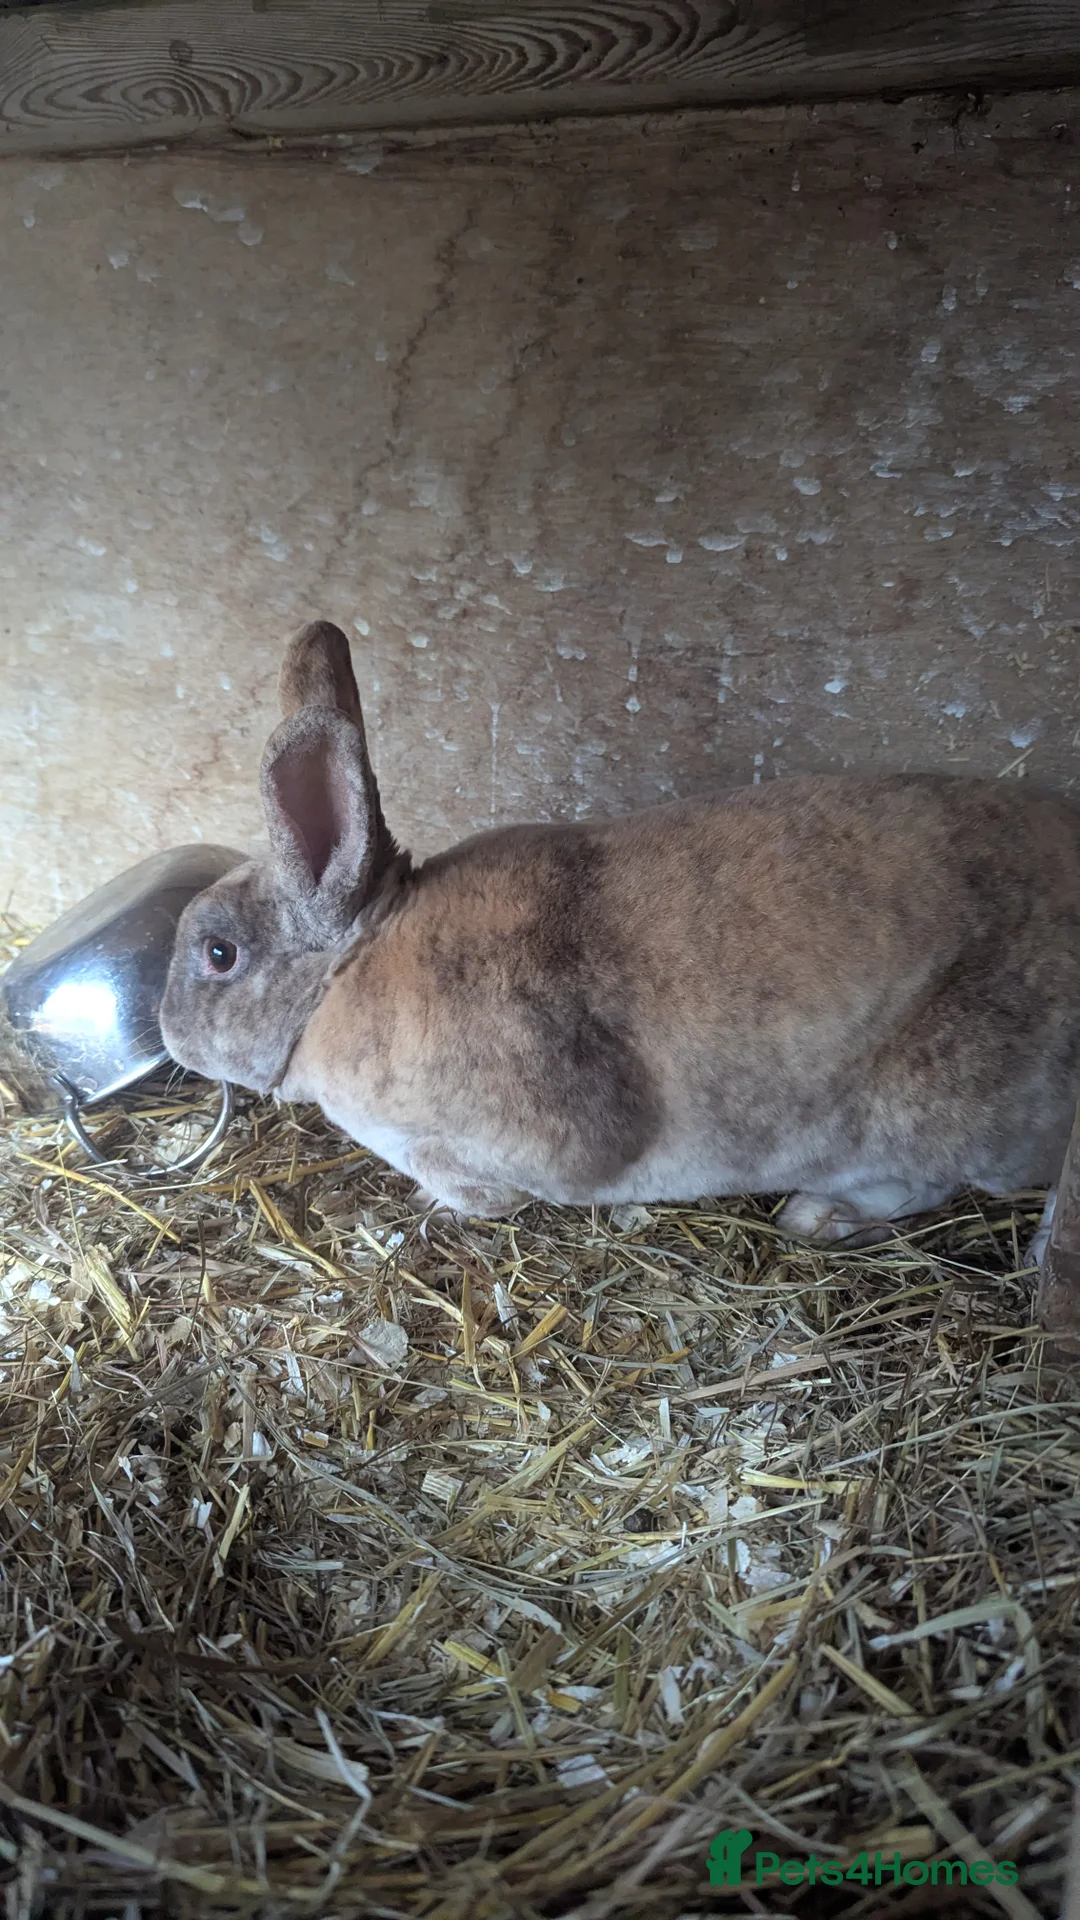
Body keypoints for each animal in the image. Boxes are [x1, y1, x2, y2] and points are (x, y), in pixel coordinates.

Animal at [160, 620, 1080, 1256]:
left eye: (217, 954)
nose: (166, 1032)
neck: (345, 972)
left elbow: (489, 1190)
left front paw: (435, 1206)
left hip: (946, 1105)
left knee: (931, 1180)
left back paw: (822, 1215)